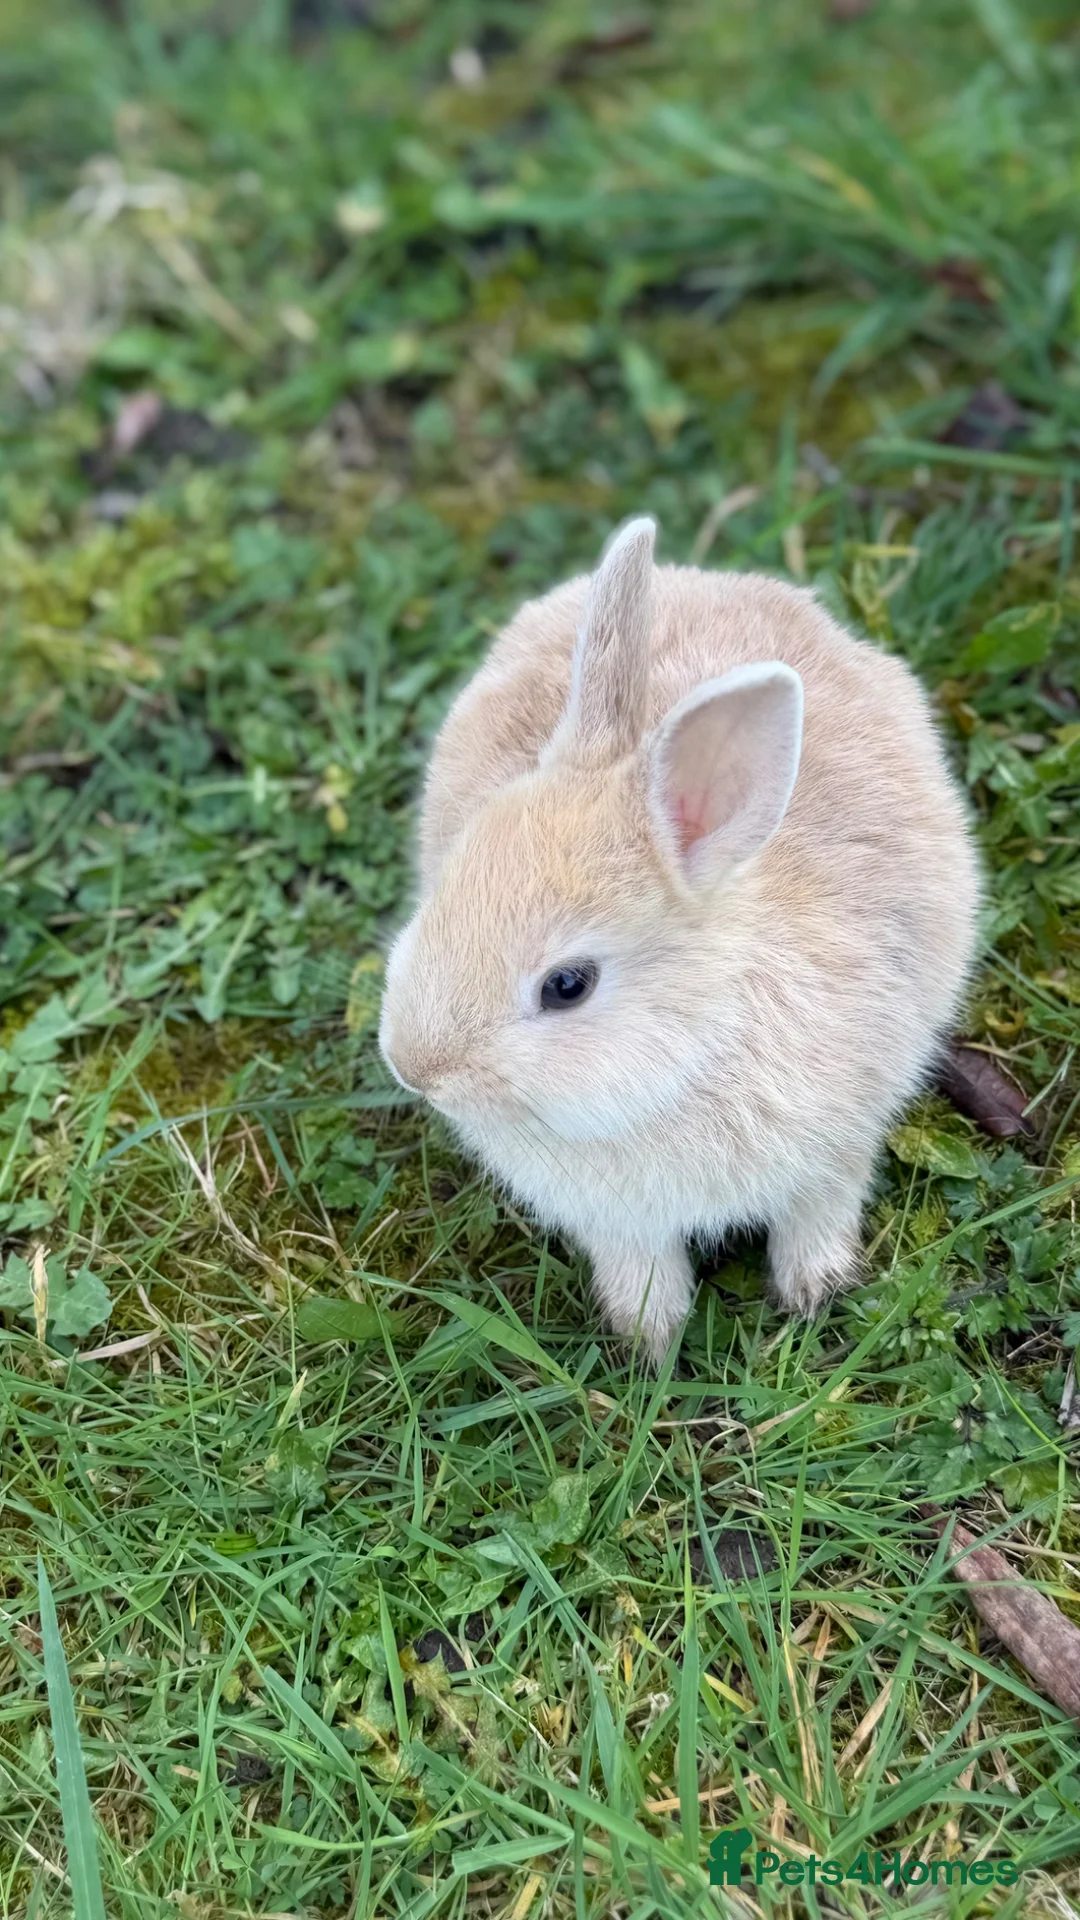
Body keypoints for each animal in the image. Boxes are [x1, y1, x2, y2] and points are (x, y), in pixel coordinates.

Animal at [379, 517, 980, 1362]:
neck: (690, 1049)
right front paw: (649, 1341)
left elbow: (819, 1212)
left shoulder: (841, 1145)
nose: (413, 1067)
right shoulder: (617, 1220)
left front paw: (813, 1293)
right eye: (447, 887)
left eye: (568, 986)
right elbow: (640, 1267)